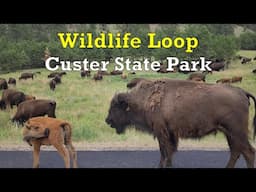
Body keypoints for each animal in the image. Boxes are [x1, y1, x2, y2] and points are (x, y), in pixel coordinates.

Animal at [105, 79, 255, 168]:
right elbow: (168, 152)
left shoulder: (162, 132)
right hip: (230, 134)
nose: (108, 120)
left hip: (236, 132)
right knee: (236, 151)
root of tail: (242, 92)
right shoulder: (169, 134)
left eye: (115, 107)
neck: (143, 100)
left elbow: (165, 152)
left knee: (248, 152)